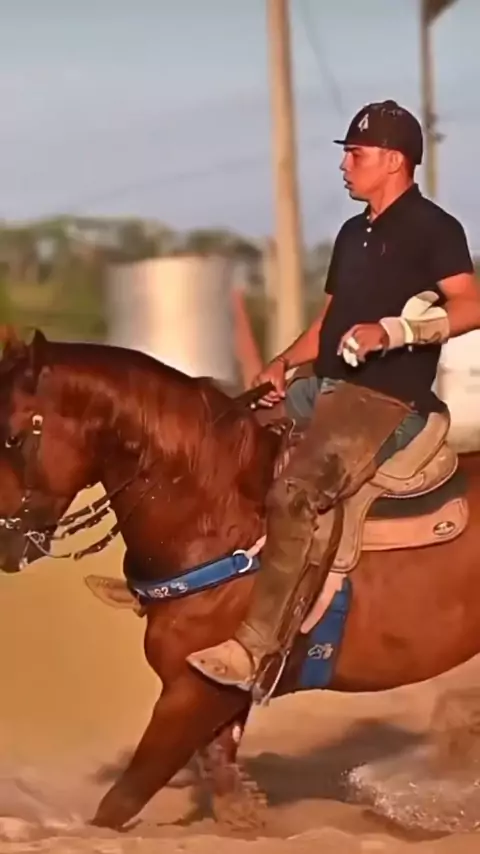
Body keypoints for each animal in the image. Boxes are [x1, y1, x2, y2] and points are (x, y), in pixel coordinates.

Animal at [0, 327, 479, 833]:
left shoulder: (194, 692)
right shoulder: (218, 699)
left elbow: (121, 801)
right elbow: (221, 778)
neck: (215, 517)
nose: (3, 539)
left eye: (12, 438)